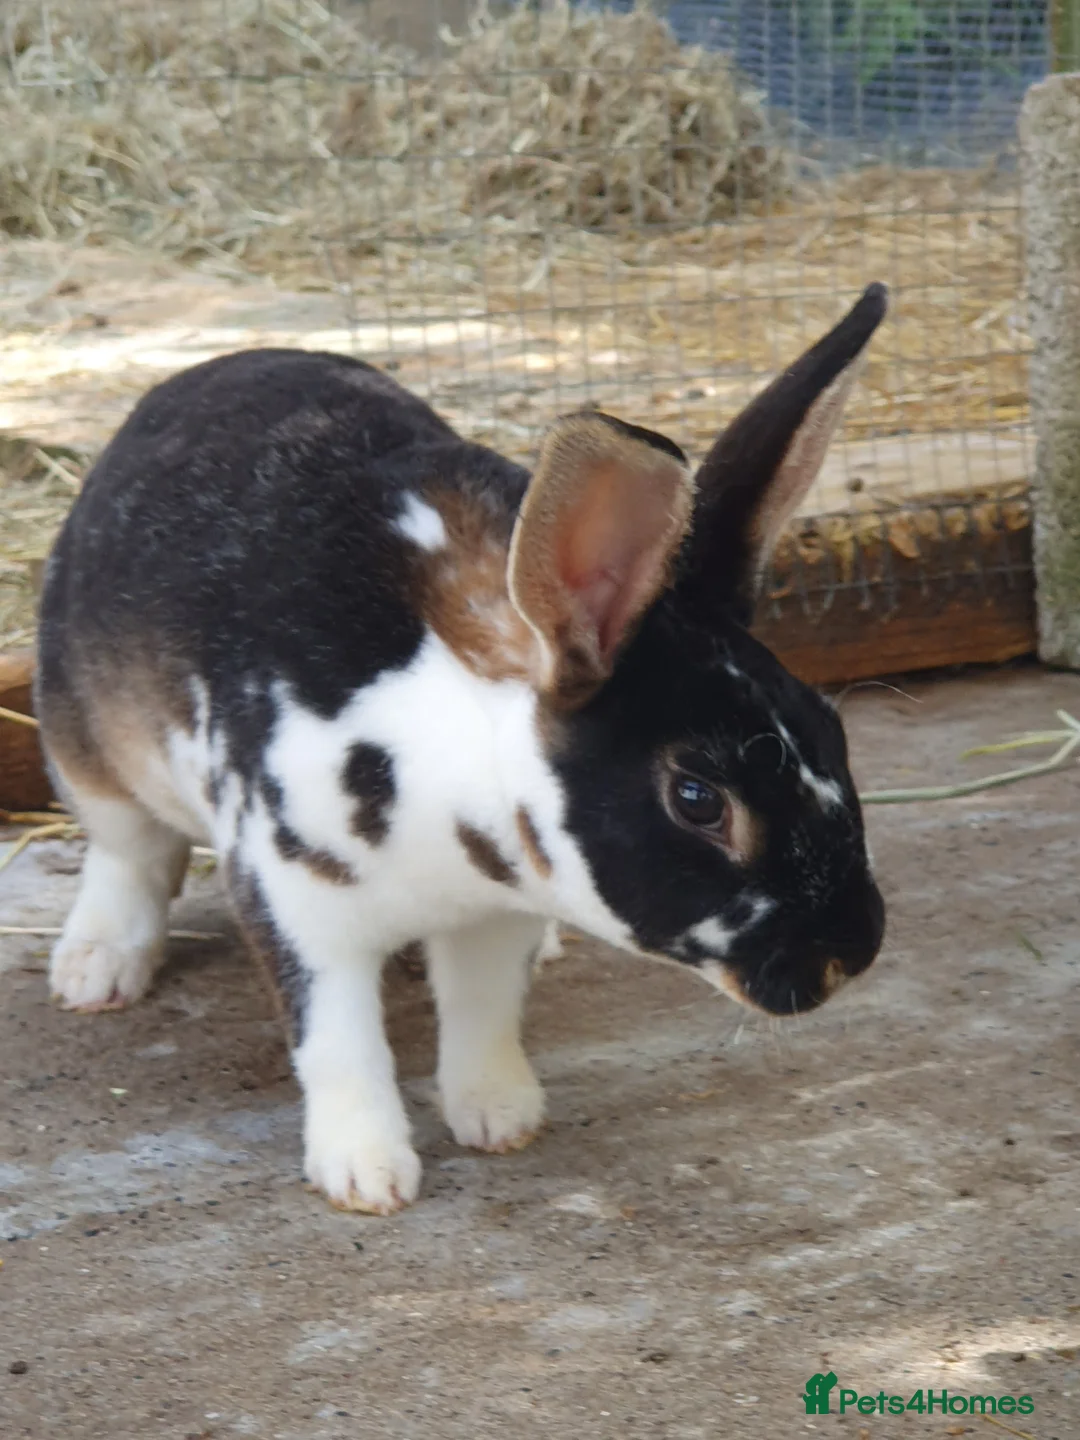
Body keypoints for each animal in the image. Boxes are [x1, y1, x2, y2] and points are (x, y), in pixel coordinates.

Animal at [35, 283, 888, 1214]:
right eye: (698, 799)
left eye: (832, 729)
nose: (852, 952)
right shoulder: (291, 895)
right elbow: (337, 1042)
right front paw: (367, 1175)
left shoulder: (494, 916)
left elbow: (482, 1012)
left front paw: (499, 1117)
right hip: (85, 745)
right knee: (128, 854)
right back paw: (95, 969)